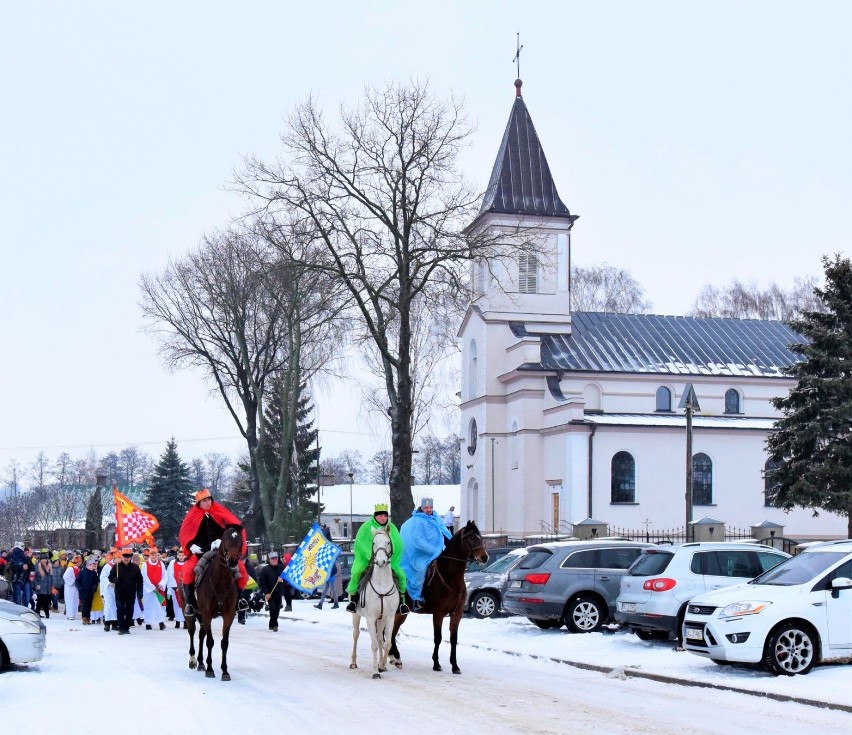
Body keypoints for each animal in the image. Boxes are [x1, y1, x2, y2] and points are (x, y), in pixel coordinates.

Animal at [183, 528, 243, 680]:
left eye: (240, 541)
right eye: (225, 539)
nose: (233, 561)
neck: (220, 581)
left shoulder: (228, 615)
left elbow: (224, 643)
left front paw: (224, 671)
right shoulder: (208, 614)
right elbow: (210, 642)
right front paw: (210, 669)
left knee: (201, 634)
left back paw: (200, 662)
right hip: (190, 612)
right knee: (192, 632)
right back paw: (193, 660)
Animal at [350, 528, 400, 680]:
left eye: (388, 542)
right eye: (373, 543)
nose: (380, 561)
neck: (382, 584)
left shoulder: (389, 617)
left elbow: (387, 643)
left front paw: (382, 665)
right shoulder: (370, 618)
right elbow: (373, 645)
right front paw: (375, 672)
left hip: (381, 619)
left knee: (379, 639)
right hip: (356, 615)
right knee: (356, 635)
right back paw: (353, 662)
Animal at [390, 520, 490, 676]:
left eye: (480, 537)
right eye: (470, 538)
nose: (484, 557)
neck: (450, 577)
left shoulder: (457, 614)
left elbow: (453, 639)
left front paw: (455, 666)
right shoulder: (438, 613)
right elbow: (438, 638)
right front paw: (436, 664)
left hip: (401, 613)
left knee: (392, 631)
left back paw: (393, 656)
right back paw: (395, 657)